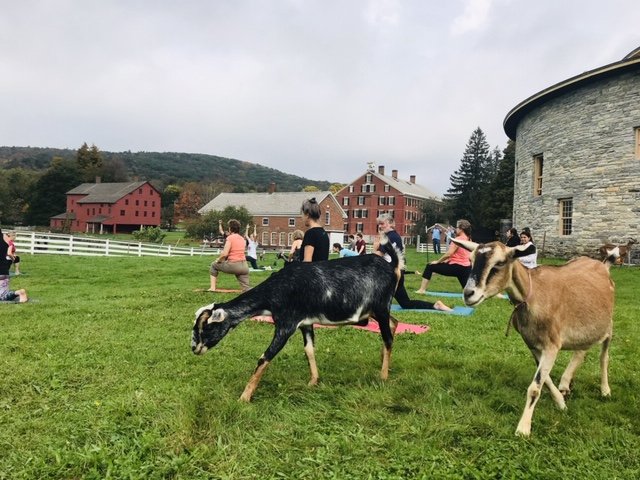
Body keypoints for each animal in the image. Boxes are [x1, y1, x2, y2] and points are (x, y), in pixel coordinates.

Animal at [190, 238, 402, 404]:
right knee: (394, 323)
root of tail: (392, 266)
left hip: (381, 308)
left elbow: (264, 357)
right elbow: (309, 350)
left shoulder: (286, 325)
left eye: (206, 328)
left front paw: (244, 397)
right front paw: (313, 381)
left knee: (388, 337)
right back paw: (383, 360)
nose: (194, 348)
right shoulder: (305, 324)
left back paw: (383, 376)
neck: (278, 289)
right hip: (375, 311)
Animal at [450, 238, 616, 436]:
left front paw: (523, 429)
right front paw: (561, 403)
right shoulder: (533, 345)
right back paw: (565, 384)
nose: (468, 294)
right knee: (581, 352)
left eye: (499, 263)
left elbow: (535, 387)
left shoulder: (552, 345)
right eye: (471, 260)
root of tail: (603, 265)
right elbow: (546, 379)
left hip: (608, 326)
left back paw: (605, 390)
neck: (532, 293)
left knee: (604, 357)